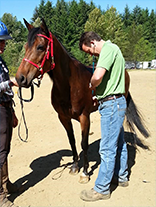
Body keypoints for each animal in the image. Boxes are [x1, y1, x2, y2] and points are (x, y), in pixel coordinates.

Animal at [15, 18, 149, 183]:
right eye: (25, 47)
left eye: (40, 47)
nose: (20, 78)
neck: (69, 85)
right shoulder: (64, 118)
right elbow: (72, 141)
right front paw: (74, 166)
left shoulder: (84, 117)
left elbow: (83, 143)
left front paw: (85, 172)